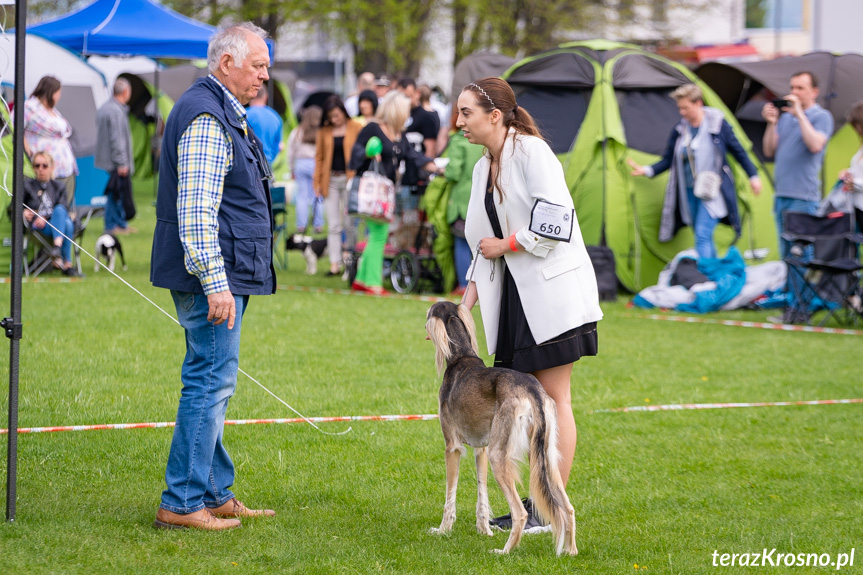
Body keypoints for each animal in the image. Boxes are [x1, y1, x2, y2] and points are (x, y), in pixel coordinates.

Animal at [424, 300, 576, 556]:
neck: (462, 356)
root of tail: (532, 390)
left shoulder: (452, 447)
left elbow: (450, 495)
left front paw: (443, 530)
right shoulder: (481, 449)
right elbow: (482, 494)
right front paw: (484, 530)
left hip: (499, 456)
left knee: (520, 513)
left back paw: (505, 552)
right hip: (546, 456)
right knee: (568, 507)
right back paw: (570, 551)